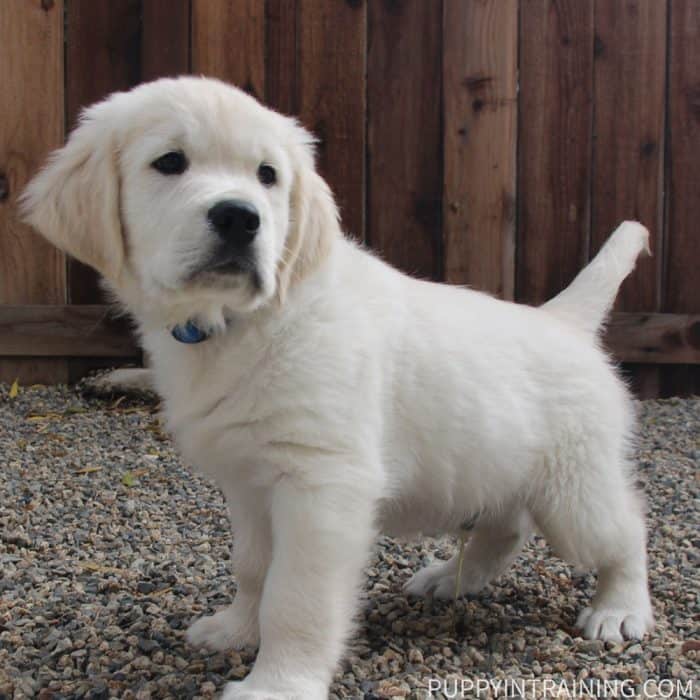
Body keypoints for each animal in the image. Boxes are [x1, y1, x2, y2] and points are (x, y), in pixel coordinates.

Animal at [23, 78, 656, 700]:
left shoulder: (319, 482)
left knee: (625, 530)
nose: (240, 218)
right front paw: (236, 628)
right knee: (507, 528)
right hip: (494, 469)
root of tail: (562, 320)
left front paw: (277, 685)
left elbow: (295, 596)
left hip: (575, 491)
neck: (246, 322)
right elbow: (253, 567)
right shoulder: (249, 482)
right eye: (169, 162)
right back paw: (450, 580)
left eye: (267, 175)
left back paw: (619, 609)